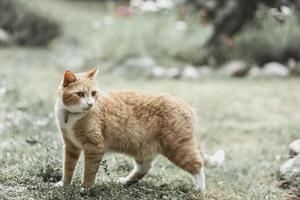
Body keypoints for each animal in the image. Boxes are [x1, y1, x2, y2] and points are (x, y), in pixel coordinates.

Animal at [54, 68, 225, 192]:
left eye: (94, 93)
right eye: (80, 94)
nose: (90, 104)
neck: (72, 116)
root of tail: (185, 104)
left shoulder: (94, 146)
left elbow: (89, 170)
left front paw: (85, 188)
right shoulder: (71, 146)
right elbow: (68, 167)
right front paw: (64, 185)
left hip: (177, 147)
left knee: (197, 165)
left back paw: (200, 188)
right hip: (143, 148)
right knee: (144, 167)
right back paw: (126, 181)